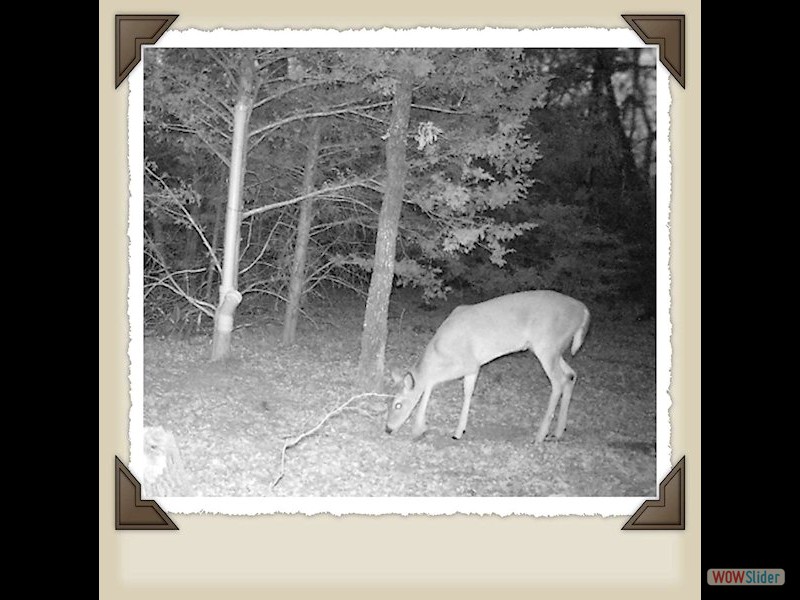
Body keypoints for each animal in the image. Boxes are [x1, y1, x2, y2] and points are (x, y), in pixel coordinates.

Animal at [385, 290, 590, 444]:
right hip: (554, 348)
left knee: (559, 380)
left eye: (398, 404)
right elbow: (467, 392)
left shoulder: (467, 362)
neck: (439, 349)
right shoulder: (474, 367)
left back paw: (540, 435)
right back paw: (558, 431)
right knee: (571, 375)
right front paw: (458, 431)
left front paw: (418, 429)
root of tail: (584, 311)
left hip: (547, 344)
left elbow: (431, 382)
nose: (388, 429)